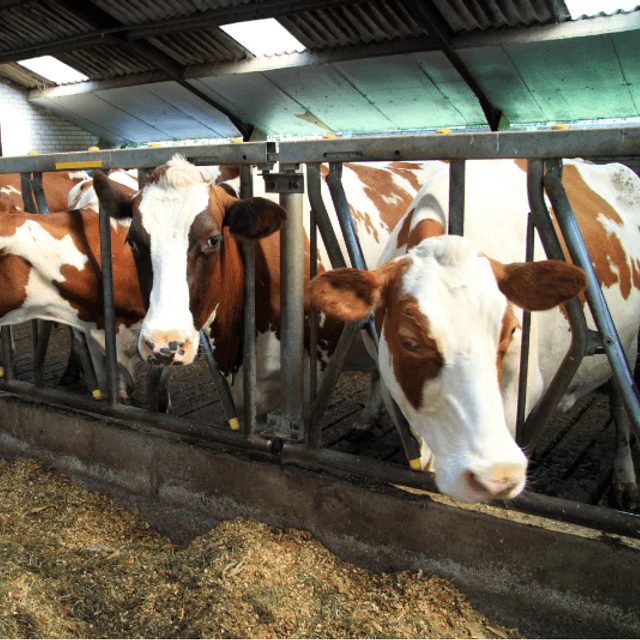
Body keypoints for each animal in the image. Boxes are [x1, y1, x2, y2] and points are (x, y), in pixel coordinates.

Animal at [310, 158, 640, 505]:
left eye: (511, 332)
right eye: (409, 340)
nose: (497, 476)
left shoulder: (525, 383)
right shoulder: (389, 370)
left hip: (625, 346)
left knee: (621, 407)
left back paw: (624, 481)